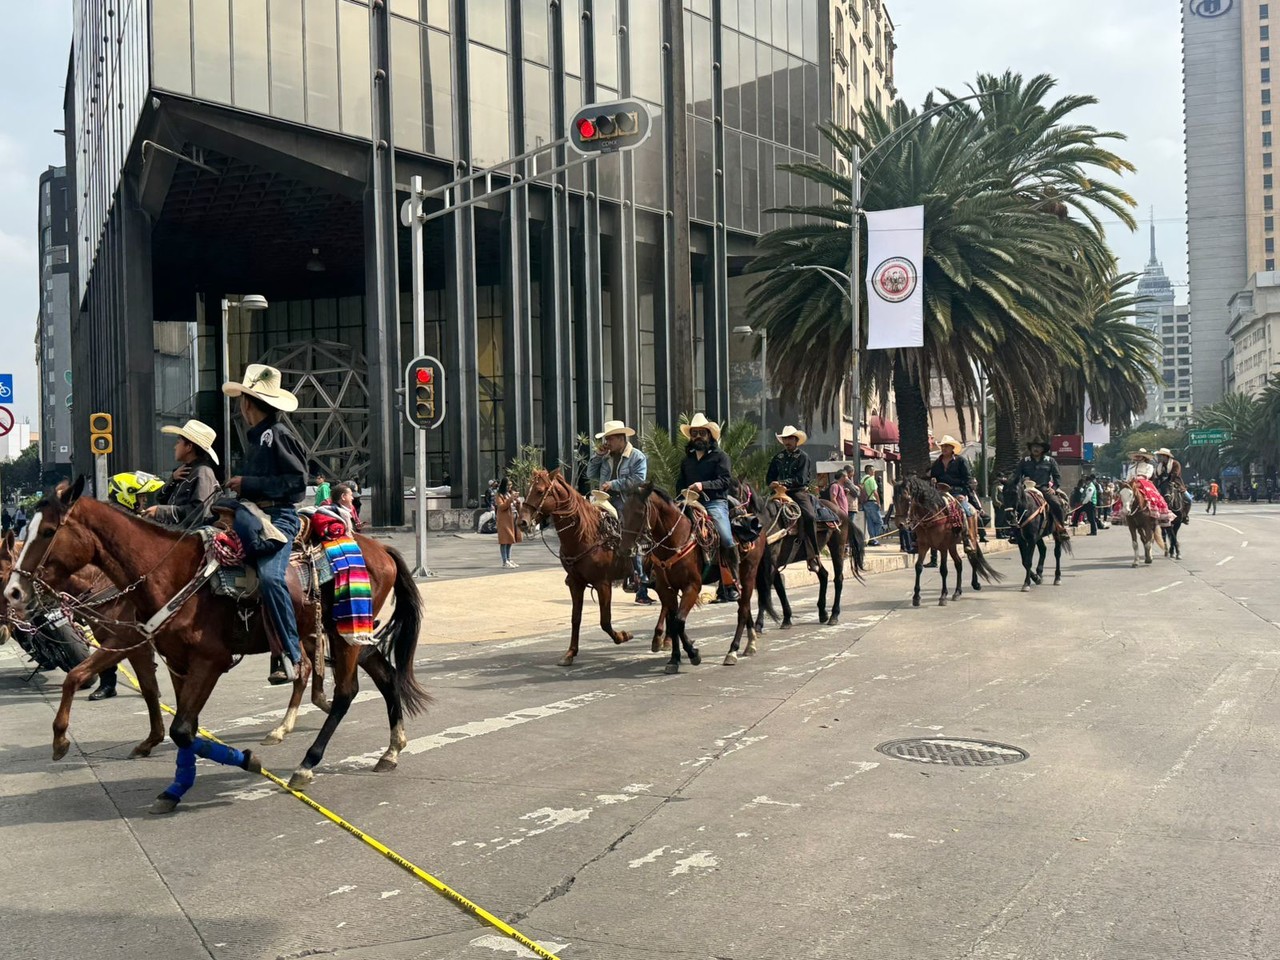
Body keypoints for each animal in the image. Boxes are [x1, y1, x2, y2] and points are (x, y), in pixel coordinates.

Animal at [3, 481, 430, 814]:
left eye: (49, 531)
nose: (14, 593)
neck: (167, 573)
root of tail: (380, 549)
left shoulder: (207, 660)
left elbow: (181, 727)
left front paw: (246, 761)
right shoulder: (170, 658)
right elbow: (167, 715)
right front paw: (172, 786)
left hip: (343, 635)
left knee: (345, 692)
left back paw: (307, 762)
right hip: (351, 633)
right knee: (386, 677)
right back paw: (391, 750)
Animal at [896, 478, 1003, 609]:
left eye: (907, 499)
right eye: (894, 499)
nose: (900, 524)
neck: (932, 516)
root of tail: (973, 509)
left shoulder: (943, 547)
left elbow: (943, 570)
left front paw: (943, 596)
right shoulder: (923, 545)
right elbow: (918, 567)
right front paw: (916, 597)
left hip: (970, 538)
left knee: (972, 557)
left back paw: (975, 584)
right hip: (952, 546)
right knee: (959, 563)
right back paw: (957, 592)